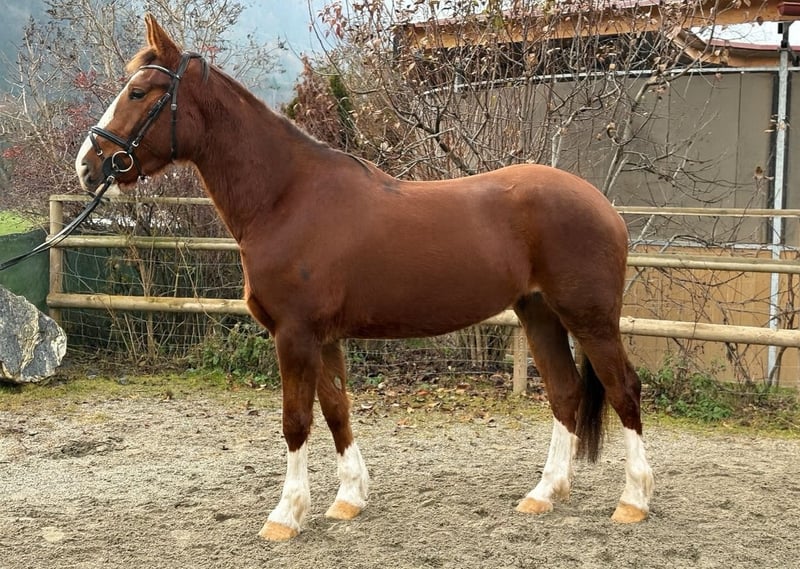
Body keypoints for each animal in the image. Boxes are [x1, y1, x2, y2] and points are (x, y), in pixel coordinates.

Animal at [75, 14, 654, 541]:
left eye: (139, 92)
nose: (87, 165)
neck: (287, 199)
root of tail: (604, 206)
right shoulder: (323, 338)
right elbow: (336, 409)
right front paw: (348, 499)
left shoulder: (295, 335)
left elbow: (296, 420)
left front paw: (286, 515)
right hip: (539, 313)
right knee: (565, 392)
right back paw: (545, 493)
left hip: (589, 317)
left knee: (623, 389)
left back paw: (633, 501)